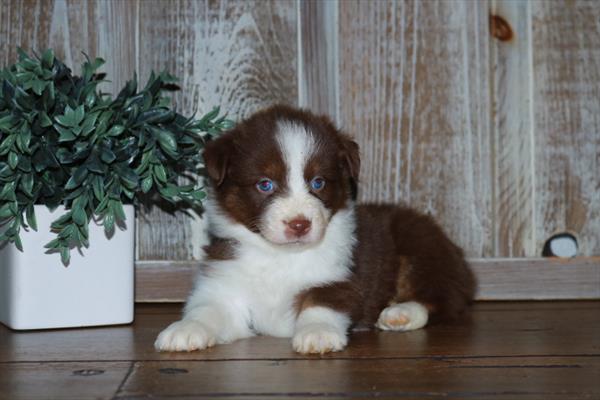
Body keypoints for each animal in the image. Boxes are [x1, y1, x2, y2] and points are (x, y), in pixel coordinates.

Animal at [156, 105, 478, 354]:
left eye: (318, 182)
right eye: (265, 184)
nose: (299, 224)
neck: (279, 255)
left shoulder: (340, 277)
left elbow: (320, 301)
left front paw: (317, 333)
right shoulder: (224, 282)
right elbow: (207, 309)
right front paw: (184, 329)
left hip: (419, 245)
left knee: (441, 298)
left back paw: (400, 313)